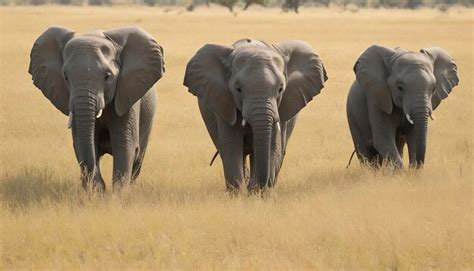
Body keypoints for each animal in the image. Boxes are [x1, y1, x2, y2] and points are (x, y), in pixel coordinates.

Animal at [28, 25, 165, 191]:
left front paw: (117, 194)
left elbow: (124, 144)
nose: (99, 187)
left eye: (107, 76)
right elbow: (83, 143)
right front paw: (97, 192)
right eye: (65, 76)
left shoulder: (127, 98)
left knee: (138, 159)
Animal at [183, 38, 328, 192]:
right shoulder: (224, 102)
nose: (259, 185)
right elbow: (231, 146)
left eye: (280, 89)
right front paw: (240, 194)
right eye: (238, 89)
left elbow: (274, 146)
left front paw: (257, 192)